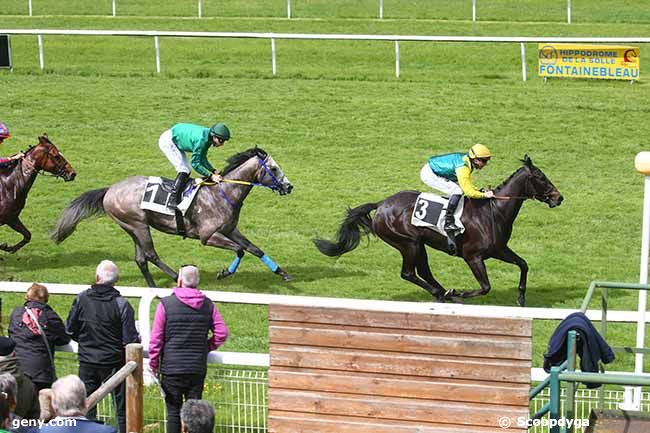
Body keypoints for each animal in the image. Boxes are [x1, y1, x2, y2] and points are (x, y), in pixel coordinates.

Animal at [52, 147, 292, 286]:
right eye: (273, 168)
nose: (289, 186)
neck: (223, 193)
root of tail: (110, 189)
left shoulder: (230, 229)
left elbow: (255, 249)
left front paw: (282, 273)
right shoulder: (207, 236)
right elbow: (240, 250)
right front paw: (224, 273)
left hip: (133, 227)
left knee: (141, 258)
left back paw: (153, 287)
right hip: (138, 225)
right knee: (151, 255)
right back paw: (177, 277)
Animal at [312, 154, 560, 306]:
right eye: (541, 177)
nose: (559, 198)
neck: (494, 211)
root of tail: (381, 204)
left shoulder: (499, 250)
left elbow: (523, 265)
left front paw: (521, 298)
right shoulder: (473, 257)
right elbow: (485, 287)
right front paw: (460, 292)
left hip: (419, 244)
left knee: (423, 272)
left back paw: (444, 294)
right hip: (408, 243)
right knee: (409, 273)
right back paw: (446, 294)